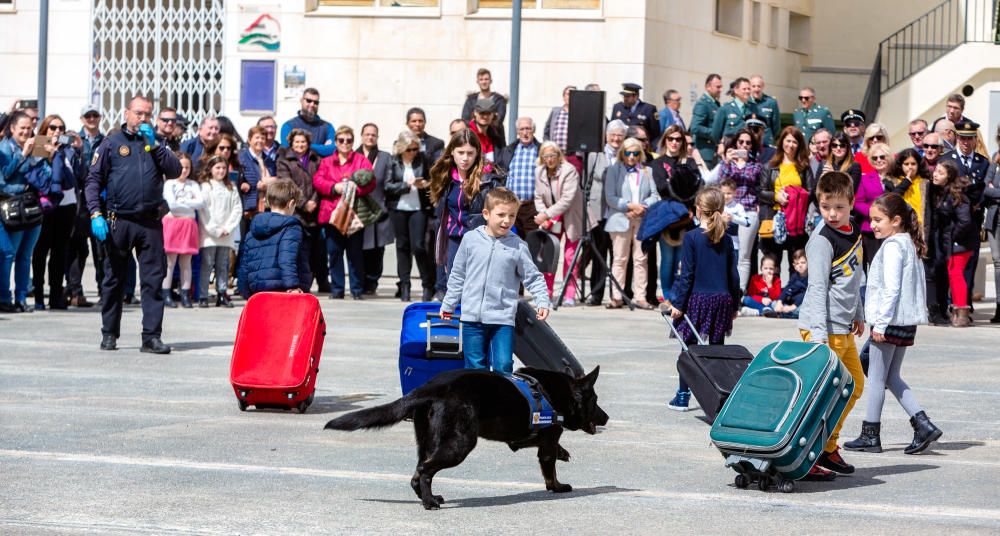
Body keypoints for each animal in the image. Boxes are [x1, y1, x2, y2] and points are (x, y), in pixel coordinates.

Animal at [328, 366, 608, 508]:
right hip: (459, 445)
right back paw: (429, 502)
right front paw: (558, 487)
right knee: (425, 469)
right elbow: (550, 468)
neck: (563, 393)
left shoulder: (526, 440)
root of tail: (430, 387)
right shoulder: (547, 440)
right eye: (595, 401)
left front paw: (563, 454)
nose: (606, 417)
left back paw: (426, 496)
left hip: (429, 442)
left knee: (418, 471)